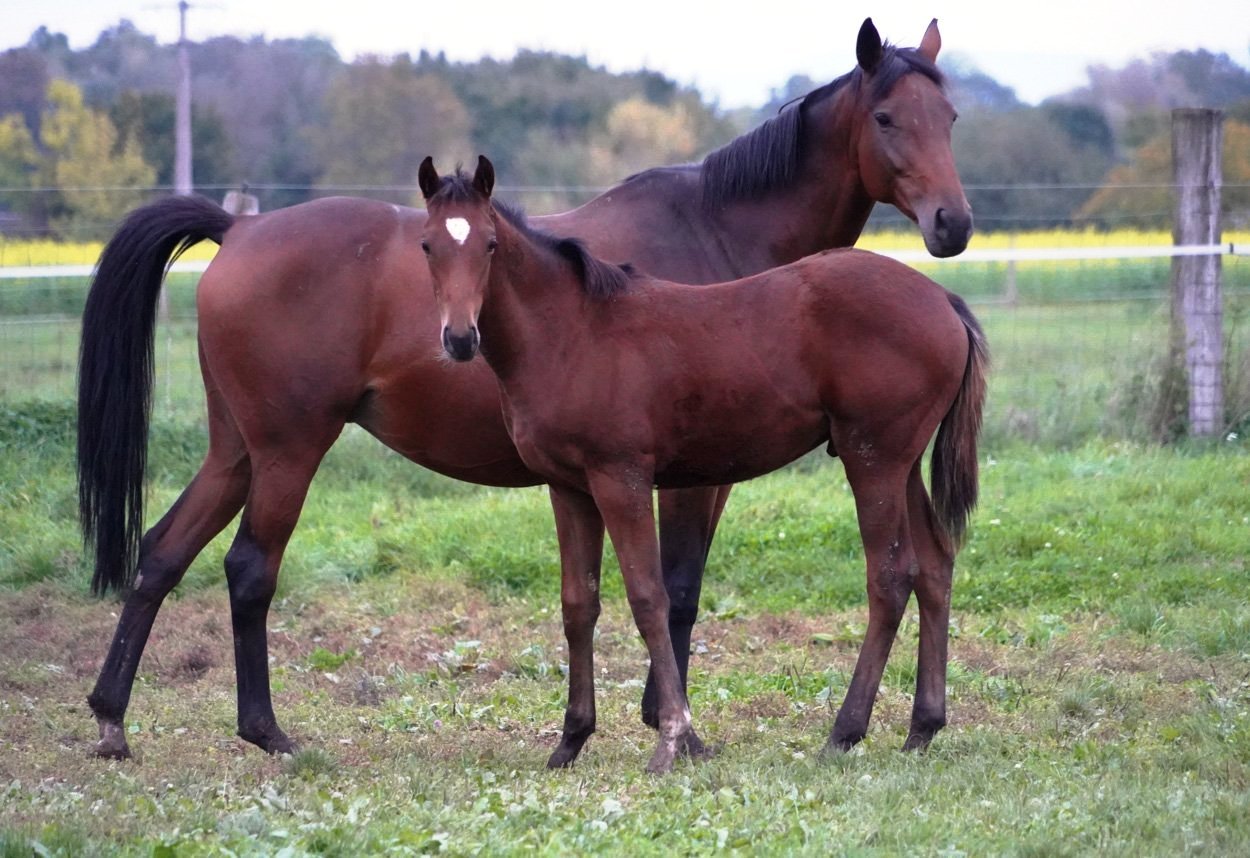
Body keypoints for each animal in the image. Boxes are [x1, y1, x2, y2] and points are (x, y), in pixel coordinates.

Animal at [417, 156, 987, 773]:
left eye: (491, 244)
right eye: (427, 245)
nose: (459, 338)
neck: (570, 331)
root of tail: (943, 300)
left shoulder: (622, 479)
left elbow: (649, 598)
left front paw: (674, 737)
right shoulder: (568, 488)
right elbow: (578, 604)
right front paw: (571, 740)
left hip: (873, 460)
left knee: (890, 577)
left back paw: (845, 730)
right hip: (902, 464)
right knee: (935, 567)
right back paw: (922, 727)